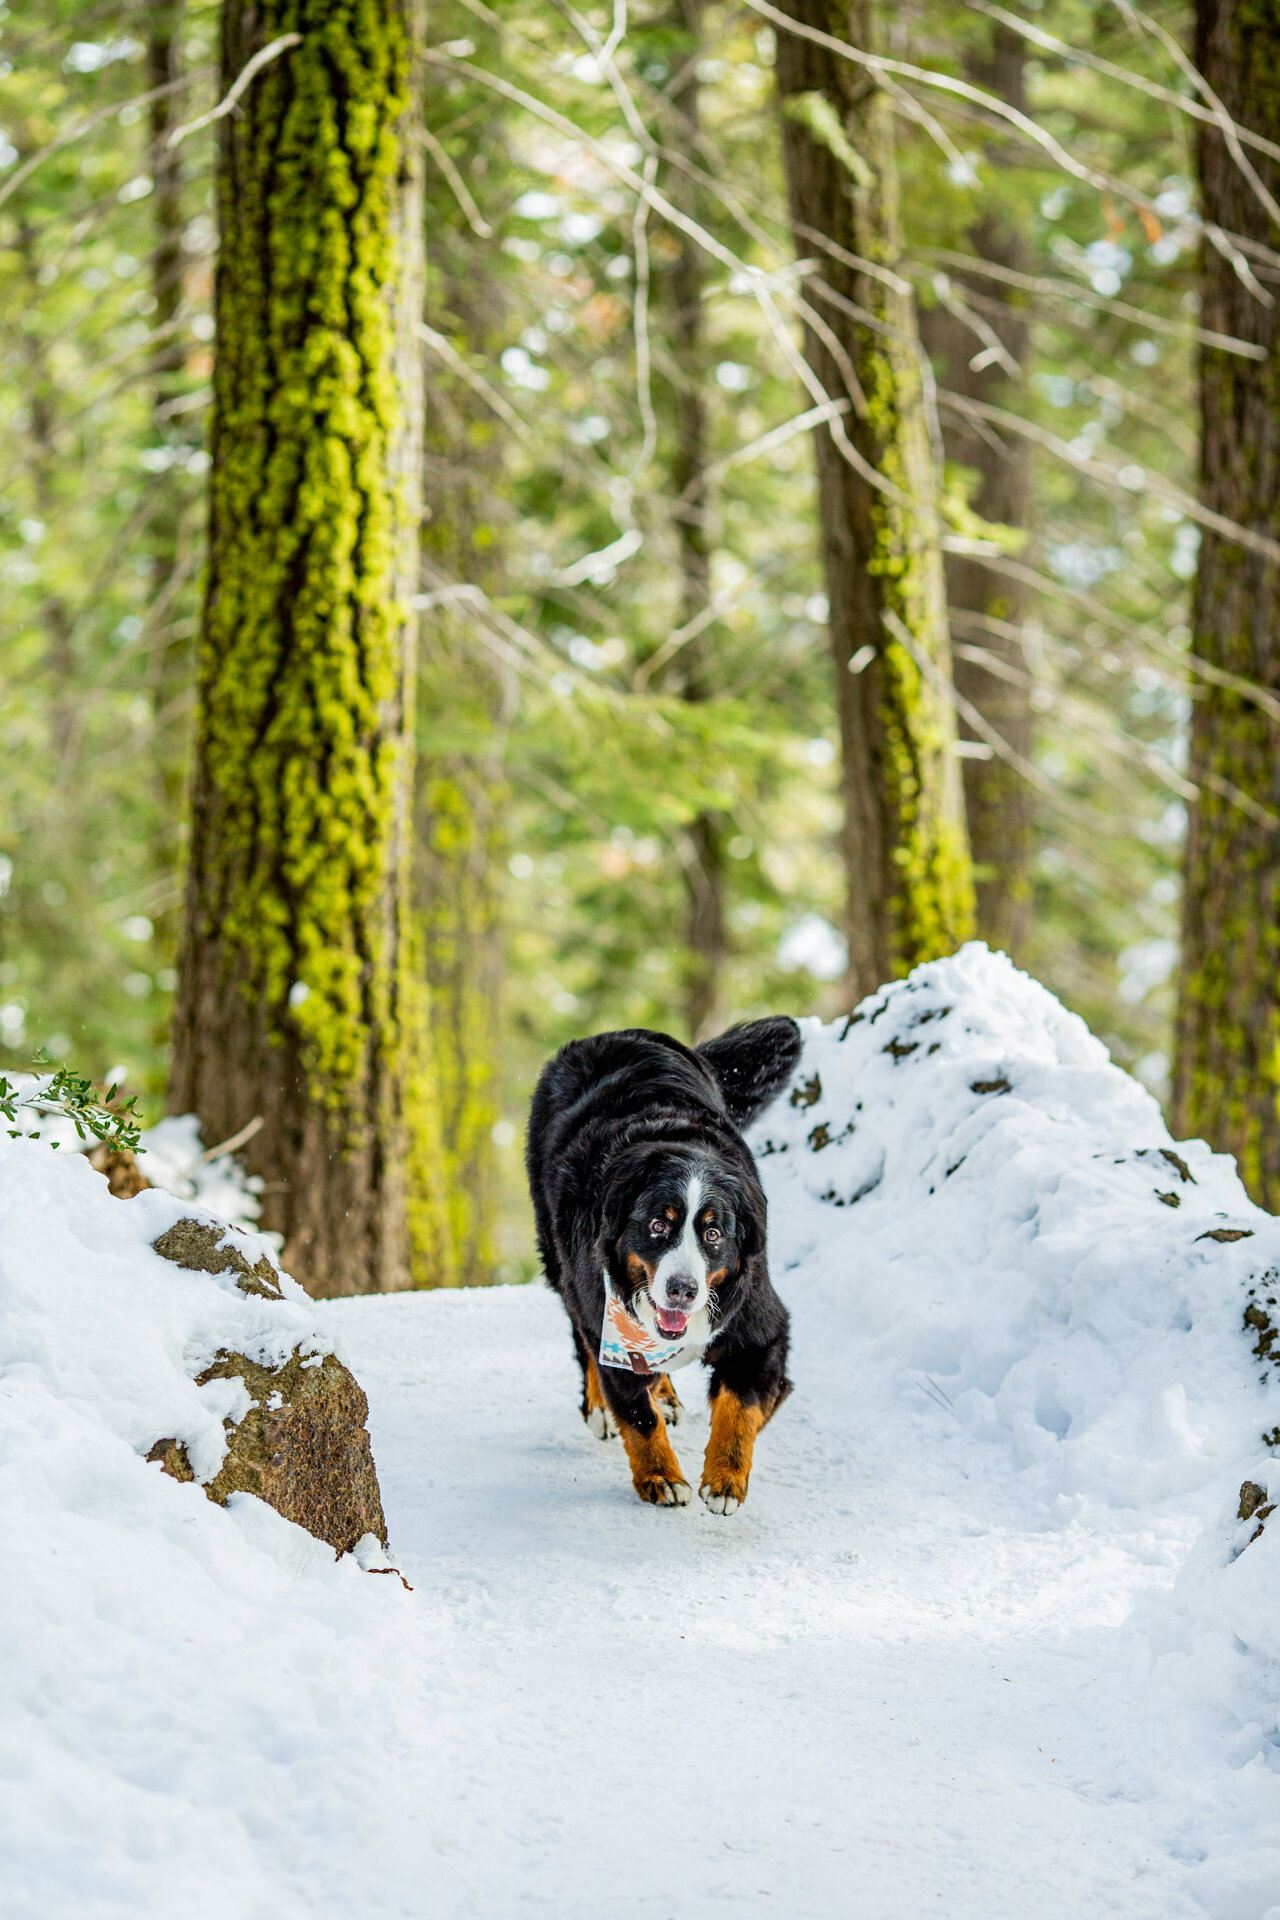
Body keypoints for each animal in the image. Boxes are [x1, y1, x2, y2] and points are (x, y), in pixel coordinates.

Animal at [525, 1021, 794, 1512]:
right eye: (657, 1225)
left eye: (713, 1234)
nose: (683, 1289)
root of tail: (611, 1034)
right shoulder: (605, 1316)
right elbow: (636, 1414)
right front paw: (661, 1476)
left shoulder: (759, 1326)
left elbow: (742, 1406)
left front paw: (725, 1478)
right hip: (561, 1261)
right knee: (583, 1338)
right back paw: (603, 1406)